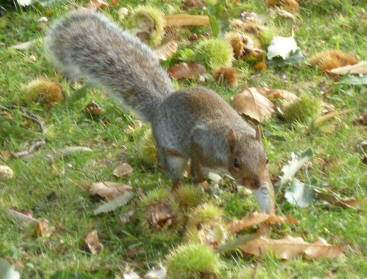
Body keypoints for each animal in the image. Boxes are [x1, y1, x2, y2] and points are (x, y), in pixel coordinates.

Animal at [46, 9, 274, 213]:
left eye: (266, 160)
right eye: (236, 162)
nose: (254, 183)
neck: (227, 139)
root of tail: (160, 105)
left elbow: (266, 193)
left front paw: (271, 217)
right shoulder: (200, 144)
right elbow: (197, 165)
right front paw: (199, 182)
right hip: (170, 152)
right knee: (175, 174)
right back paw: (180, 188)